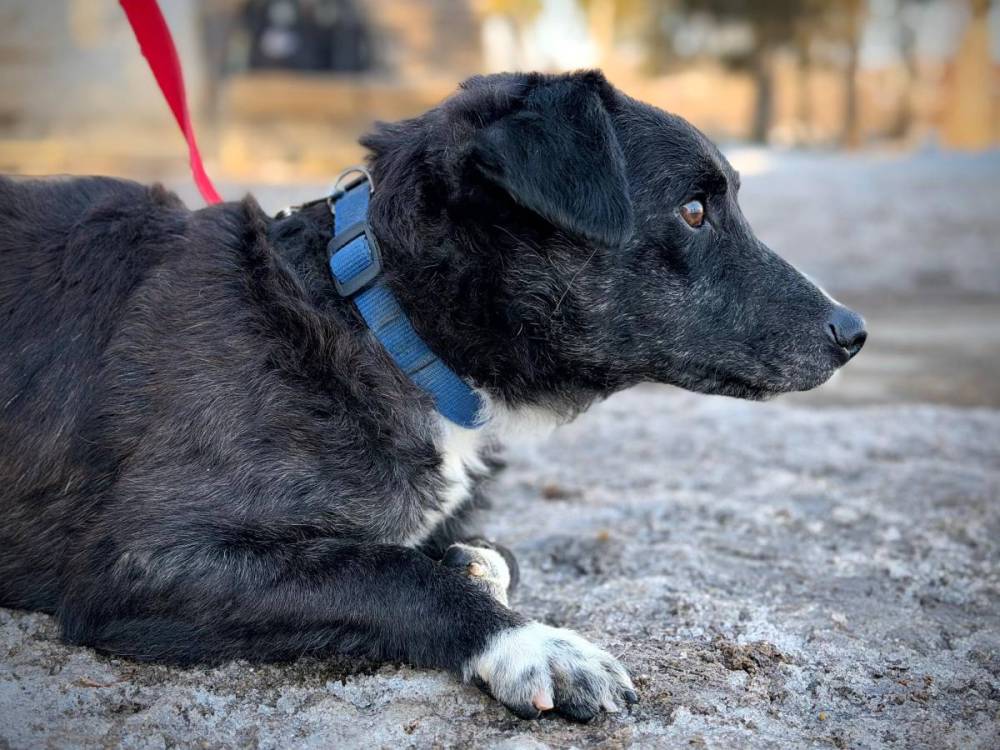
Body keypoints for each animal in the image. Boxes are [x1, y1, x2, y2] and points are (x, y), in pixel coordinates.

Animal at [0, 70, 865, 721]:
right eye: (692, 210)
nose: (853, 331)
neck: (378, 322)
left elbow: (475, 552)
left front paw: (469, 564)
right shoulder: (143, 562)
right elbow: (392, 573)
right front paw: (535, 643)